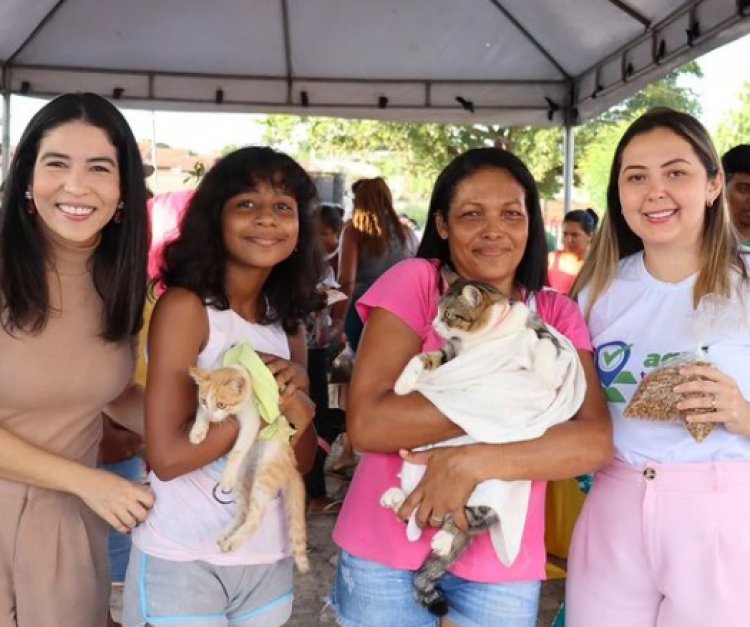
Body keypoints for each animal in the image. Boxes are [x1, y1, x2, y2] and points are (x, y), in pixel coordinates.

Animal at [388, 292, 588, 568]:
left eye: (448, 314)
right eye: (438, 311)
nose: (435, 324)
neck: (487, 335)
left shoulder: (544, 335)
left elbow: (547, 346)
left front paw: (547, 372)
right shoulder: (453, 353)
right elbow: (427, 357)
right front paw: (403, 383)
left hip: (490, 489)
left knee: (468, 520)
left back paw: (444, 539)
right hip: (414, 469)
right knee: (412, 507)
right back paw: (395, 498)